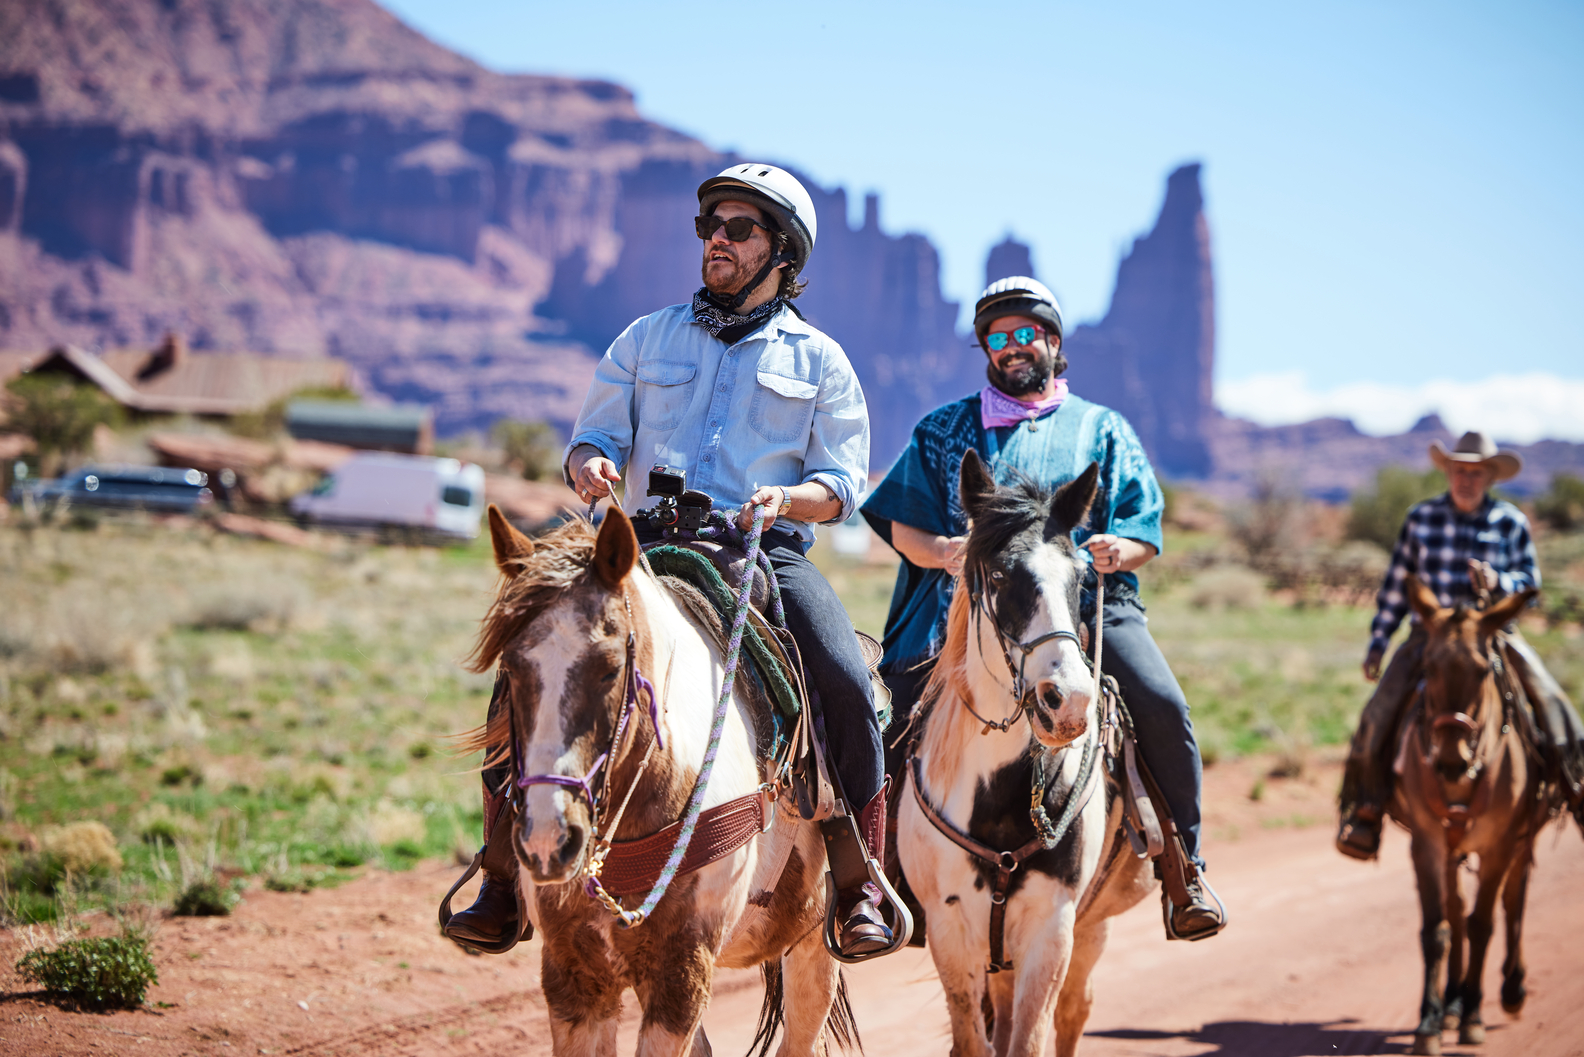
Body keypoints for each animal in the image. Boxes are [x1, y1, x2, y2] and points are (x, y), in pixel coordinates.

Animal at [472, 507, 855, 1057]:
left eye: (611, 669)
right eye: (511, 667)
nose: (549, 838)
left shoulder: (681, 968)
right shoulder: (573, 971)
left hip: (812, 946)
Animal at [906, 453, 1153, 1057]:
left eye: (1082, 578)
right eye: (998, 577)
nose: (1067, 702)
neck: (996, 799)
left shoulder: (1052, 928)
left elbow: (1030, 1039)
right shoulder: (950, 933)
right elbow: (974, 1041)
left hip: (1090, 928)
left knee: (1075, 1011)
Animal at [1393, 573, 1552, 1052]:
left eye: (1484, 669)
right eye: (1427, 667)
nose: (1450, 761)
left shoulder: (1500, 843)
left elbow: (1483, 923)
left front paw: (1474, 1017)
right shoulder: (1427, 842)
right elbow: (1438, 928)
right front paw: (1430, 1021)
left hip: (1519, 841)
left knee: (1514, 900)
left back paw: (1508, 990)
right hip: (1454, 848)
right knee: (1457, 907)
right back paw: (1452, 1001)